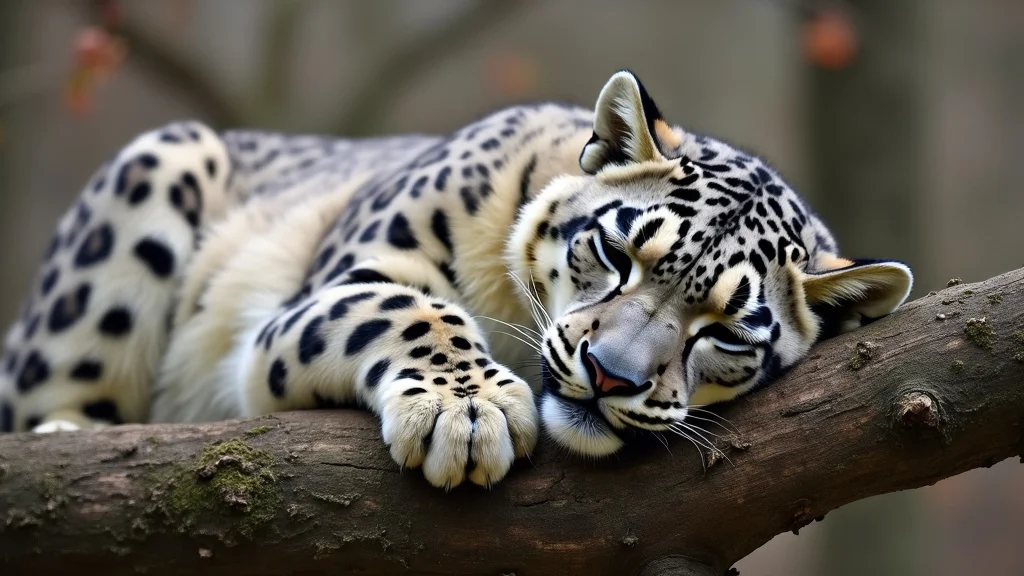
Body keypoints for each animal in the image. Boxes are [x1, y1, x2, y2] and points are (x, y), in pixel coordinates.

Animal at [0, 71, 912, 488]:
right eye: (619, 251)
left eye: (726, 329)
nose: (610, 376)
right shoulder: (353, 275)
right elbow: (404, 307)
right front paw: (466, 414)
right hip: (157, 168)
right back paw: (66, 436)